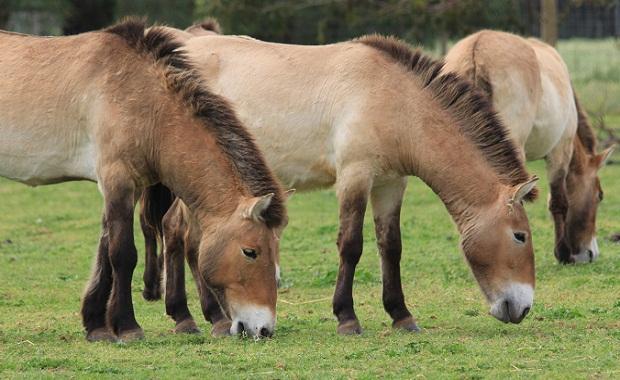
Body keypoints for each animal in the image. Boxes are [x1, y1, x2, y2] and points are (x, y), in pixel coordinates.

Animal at [0, 18, 288, 338]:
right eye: (250, 251)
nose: (264, 328)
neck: (145, 103)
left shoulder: (126, 186)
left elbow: (105, 250)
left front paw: (96, 324)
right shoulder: (117, 181)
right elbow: (122, 253)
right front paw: (127, 326)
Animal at [140, 27, 536, 336]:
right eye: (520, 235)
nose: (523, 307)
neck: (397, 102)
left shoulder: (390, 184)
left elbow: (391, 246)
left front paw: (401, 315)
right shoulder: (354, 176)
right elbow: (351, 245)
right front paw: (347, 317)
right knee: (179, 232)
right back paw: (194, 317)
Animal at [444, 30, 612, 264]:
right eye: (600, 196)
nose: (590, 254)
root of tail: (476, 49)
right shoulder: (560, 151)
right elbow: (559, 201)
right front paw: (564, 253)